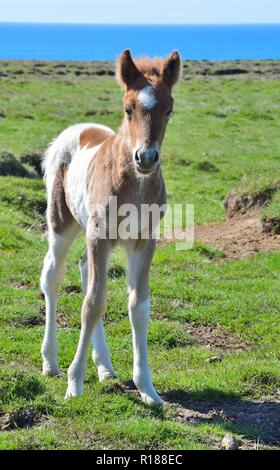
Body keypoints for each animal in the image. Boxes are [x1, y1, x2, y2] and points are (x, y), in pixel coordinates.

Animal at [41, 49, 182, 406]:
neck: (135, 184)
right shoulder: (99, 235)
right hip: (62, 224)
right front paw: (74, 383)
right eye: (128, 108)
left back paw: (105, 367)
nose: (146, 157)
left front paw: (147, 388)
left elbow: (138, 307)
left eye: (169, 109)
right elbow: (92, 304)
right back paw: (50, 362)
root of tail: (78, 128)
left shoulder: (144, 241)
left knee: (83, 269)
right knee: (53, 275)